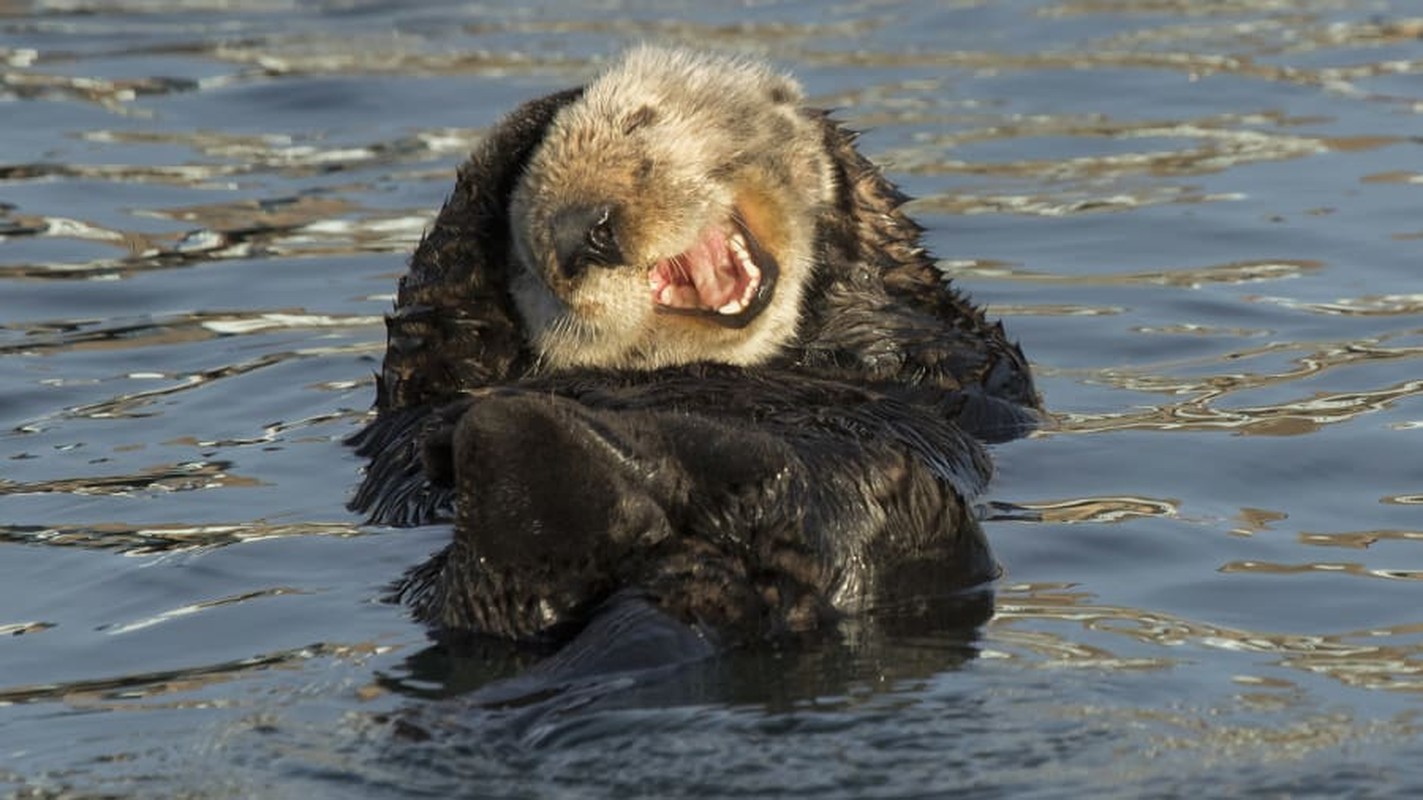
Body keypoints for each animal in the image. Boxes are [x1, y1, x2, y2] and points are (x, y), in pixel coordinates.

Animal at [344, 45, 1035, 649]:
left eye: (641, 122)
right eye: (531, 267)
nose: (586, 232)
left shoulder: (959, 353)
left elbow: (918, 333)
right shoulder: (432, 374)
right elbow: (433, 328)